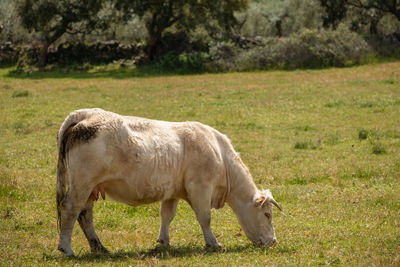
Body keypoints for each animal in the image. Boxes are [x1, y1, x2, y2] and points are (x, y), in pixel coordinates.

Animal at [56, 109, 282, 258]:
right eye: (267, 214)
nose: (273, 242)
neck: (219, 154)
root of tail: (86, 114)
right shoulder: (200, 188)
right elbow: (205, 218)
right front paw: (213, 243)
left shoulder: (172, 192)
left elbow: (167, 216)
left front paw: (164, 242)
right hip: (82, 184)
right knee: (70, 209)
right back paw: (67, 249)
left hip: (90, 188)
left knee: (85, 215)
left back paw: (99, 248)